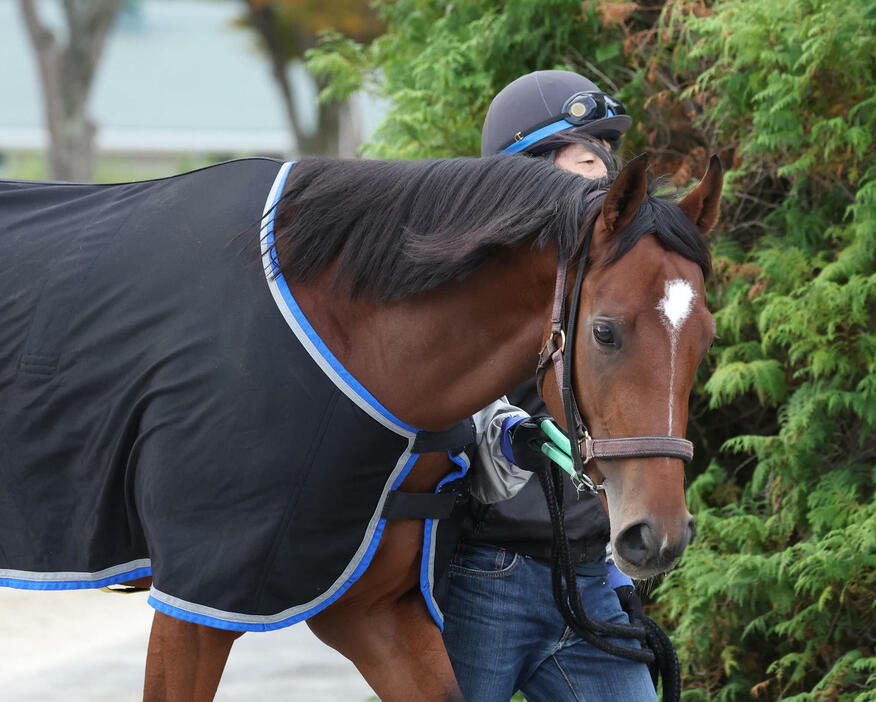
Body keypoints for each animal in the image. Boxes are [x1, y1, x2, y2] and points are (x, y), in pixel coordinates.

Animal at [0, 151, 724, 700]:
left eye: (706, 337)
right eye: (604, 331)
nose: (656, 534)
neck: (349, 341)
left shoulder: (374, 609)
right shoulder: (197, 601)